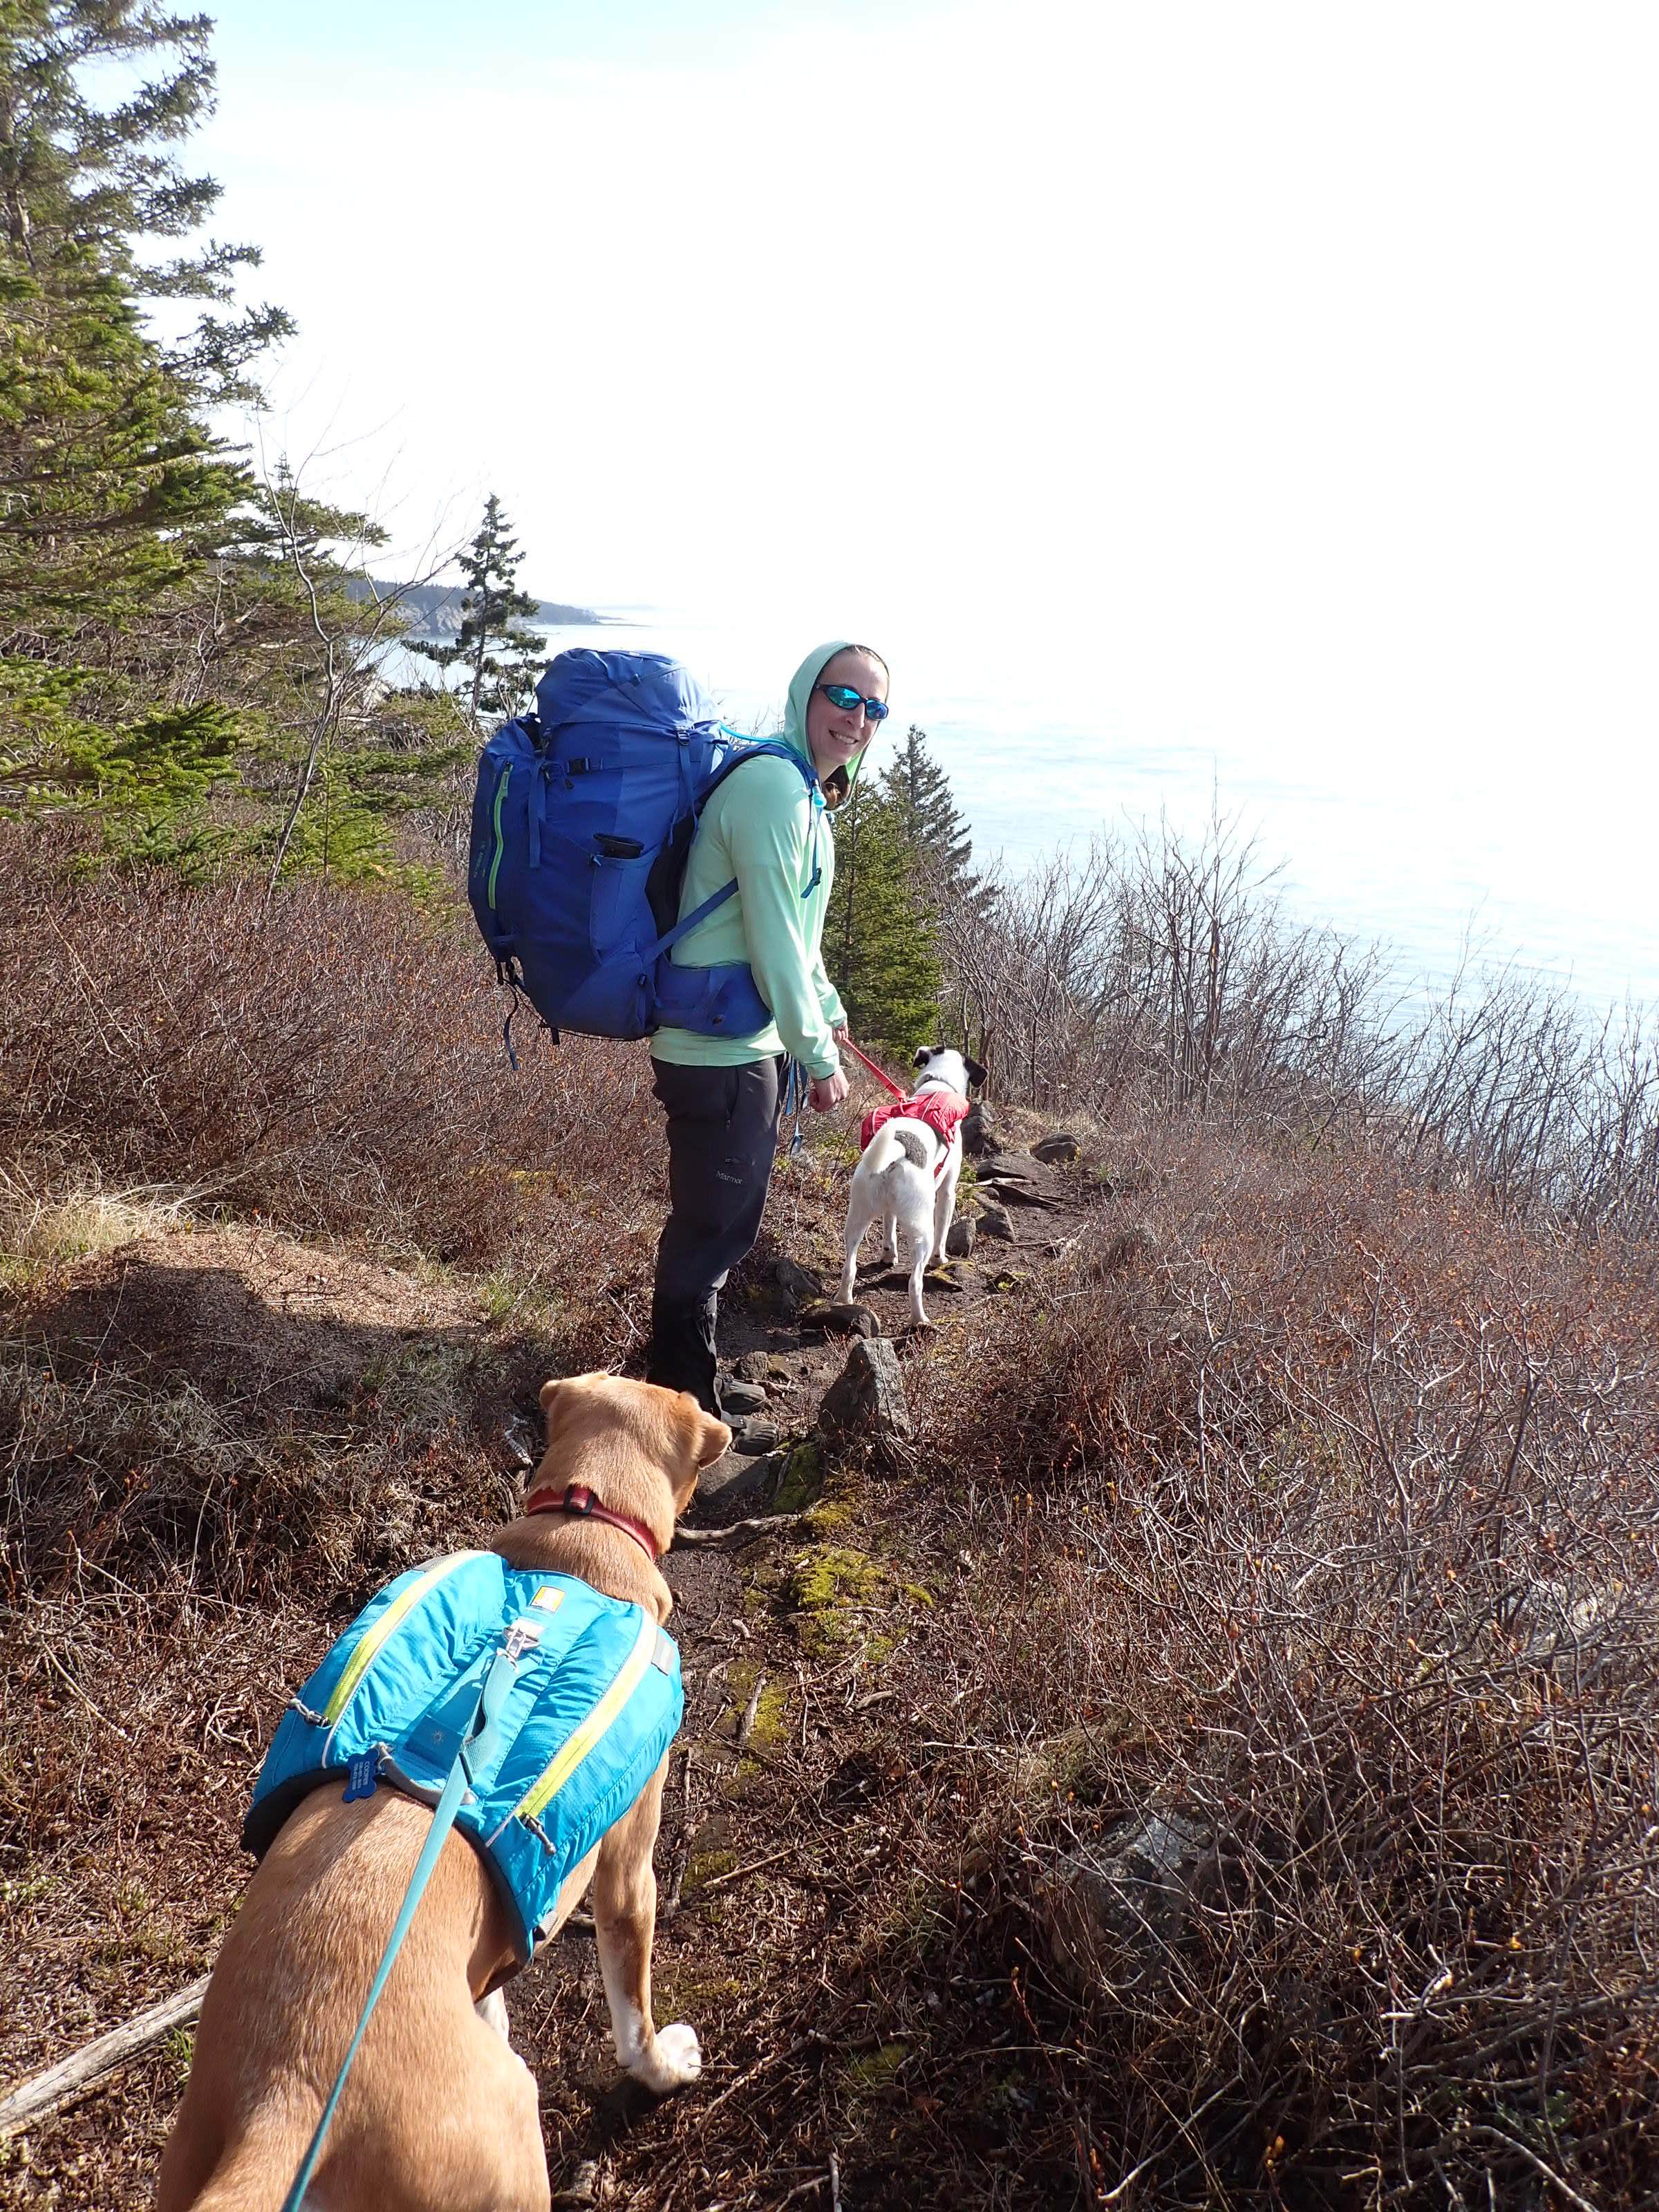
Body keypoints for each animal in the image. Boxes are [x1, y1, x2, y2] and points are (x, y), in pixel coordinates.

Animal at [157, 1371, 725, 2203]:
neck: (581, 1537)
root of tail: (285, 2100)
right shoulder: (629, 1868)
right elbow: (633, 2014)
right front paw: (664, 2066)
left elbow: (489, 1991)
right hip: (508, 2148)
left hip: (189, 2155)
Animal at [845, 1040, 986, 1318]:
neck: (939, 1083)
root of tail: (899, 1149)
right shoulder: (947, 1193)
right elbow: (943, 1233)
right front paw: (940, 1260)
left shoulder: (888, 1210)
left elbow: (889, 1228)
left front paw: (888, 1256)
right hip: (922, 1229)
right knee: (915, 1281)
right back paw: (919, 1319)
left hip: (857, 1217)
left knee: (849, 1267)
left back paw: (843, 1300)